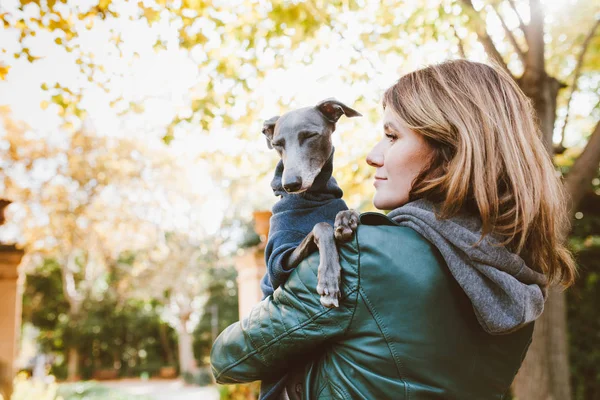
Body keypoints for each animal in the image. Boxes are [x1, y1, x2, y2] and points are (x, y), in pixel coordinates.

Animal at [262, 98, 360, 308]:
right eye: (277, 144)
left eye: (310, 135)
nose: (290, 184)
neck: (314, 196)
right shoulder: (279, 261)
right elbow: (320, 226)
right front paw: (329, 281)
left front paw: (346, 218)